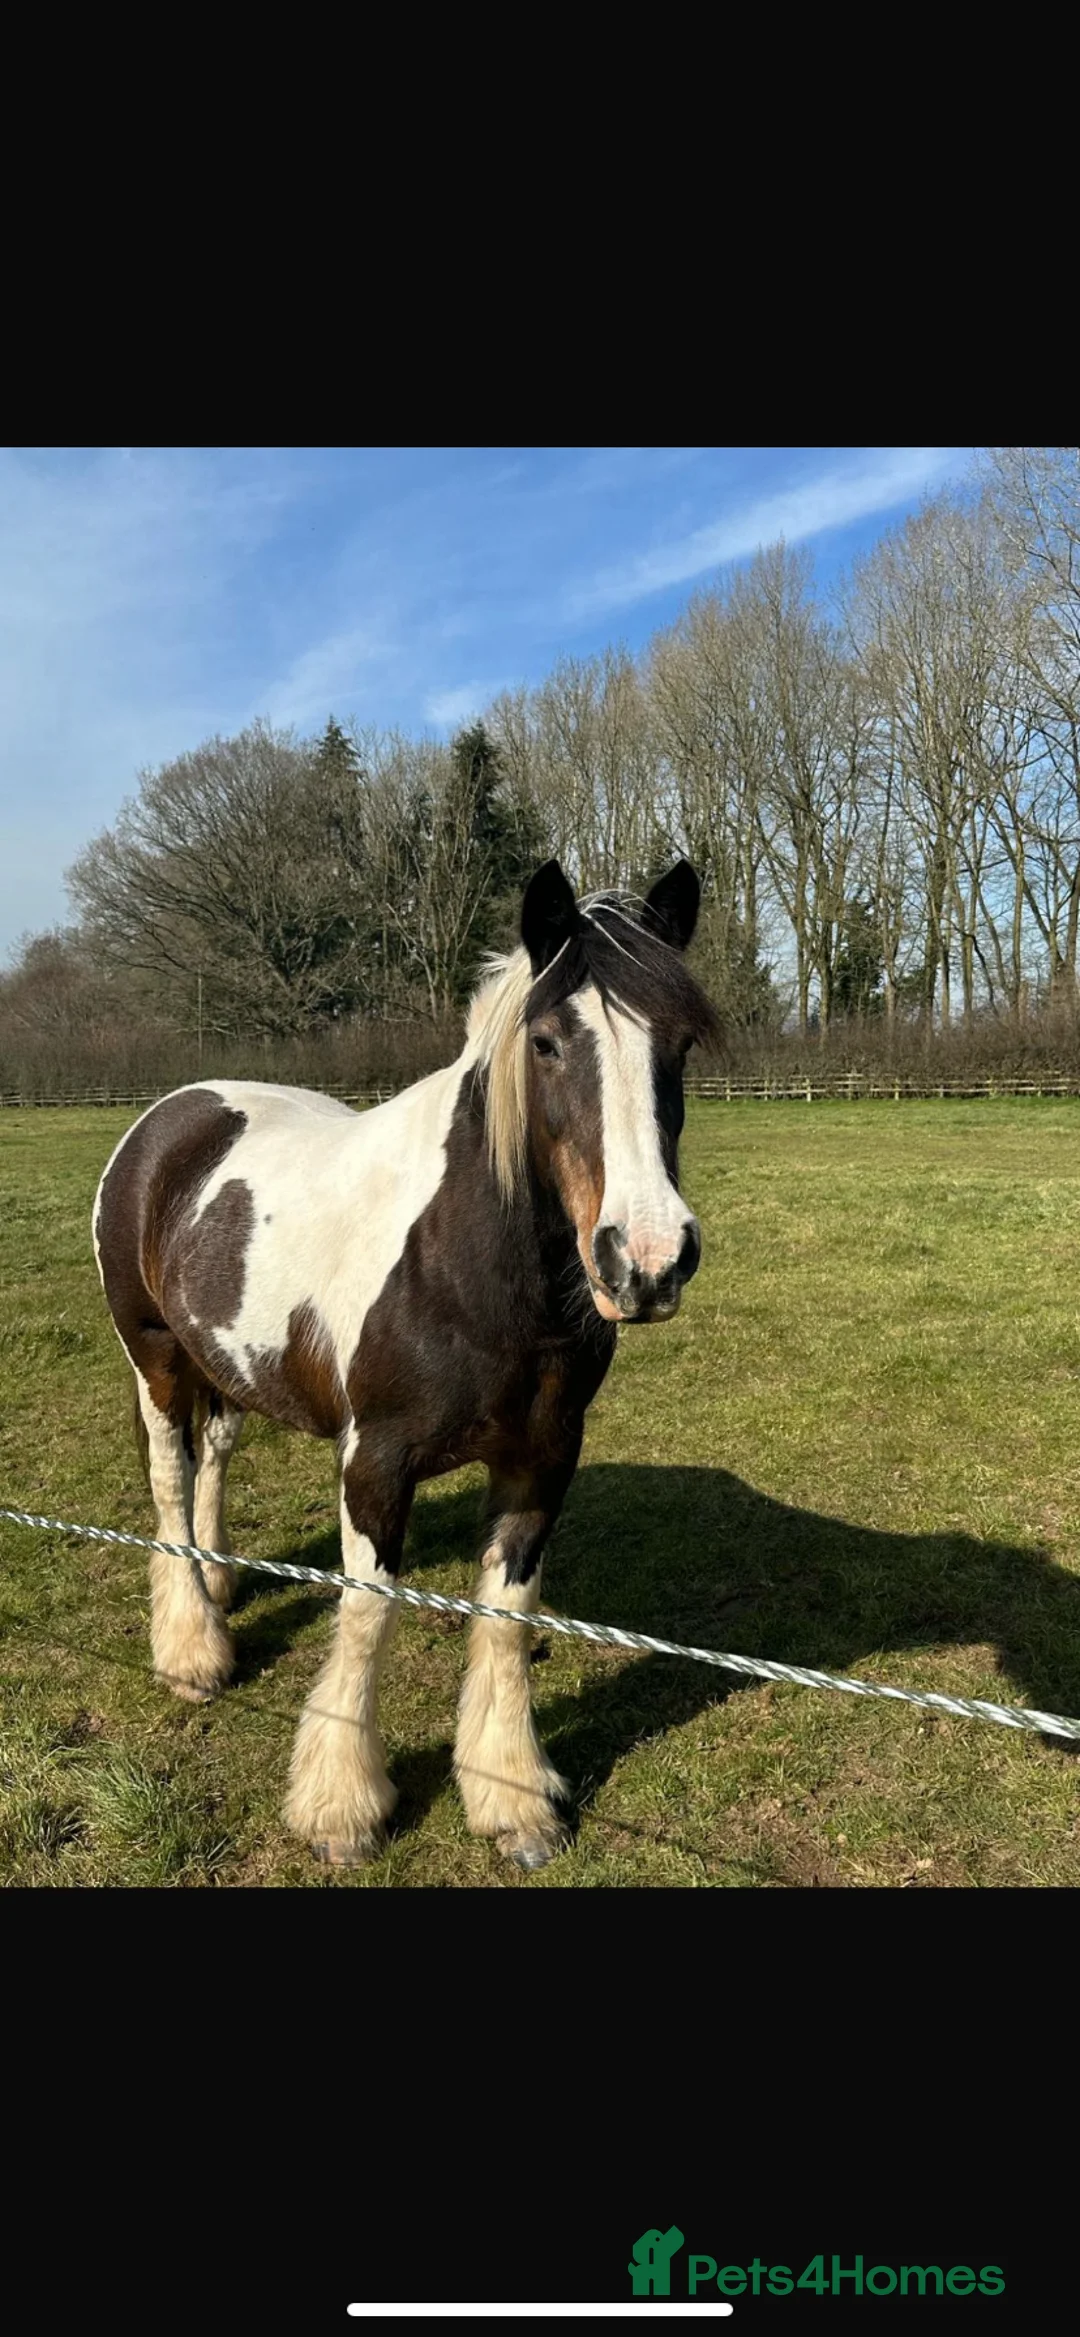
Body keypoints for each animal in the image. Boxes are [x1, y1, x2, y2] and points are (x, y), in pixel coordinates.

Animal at [92, 857, 718, 1870]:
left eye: (682, 1043)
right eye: (546, 1041)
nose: (649, 1258)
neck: (466, 1262)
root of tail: (171, 1115)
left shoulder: (543, 1459)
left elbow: (506, 1618)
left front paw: (513, 1801)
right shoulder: (376, 1464)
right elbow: (366, 1613)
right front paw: (342, 1810)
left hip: (228, 1364)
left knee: (215, 1456)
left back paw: (221, 1586)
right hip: (155, 1358)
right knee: (170, 1481)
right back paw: (192, 1650)